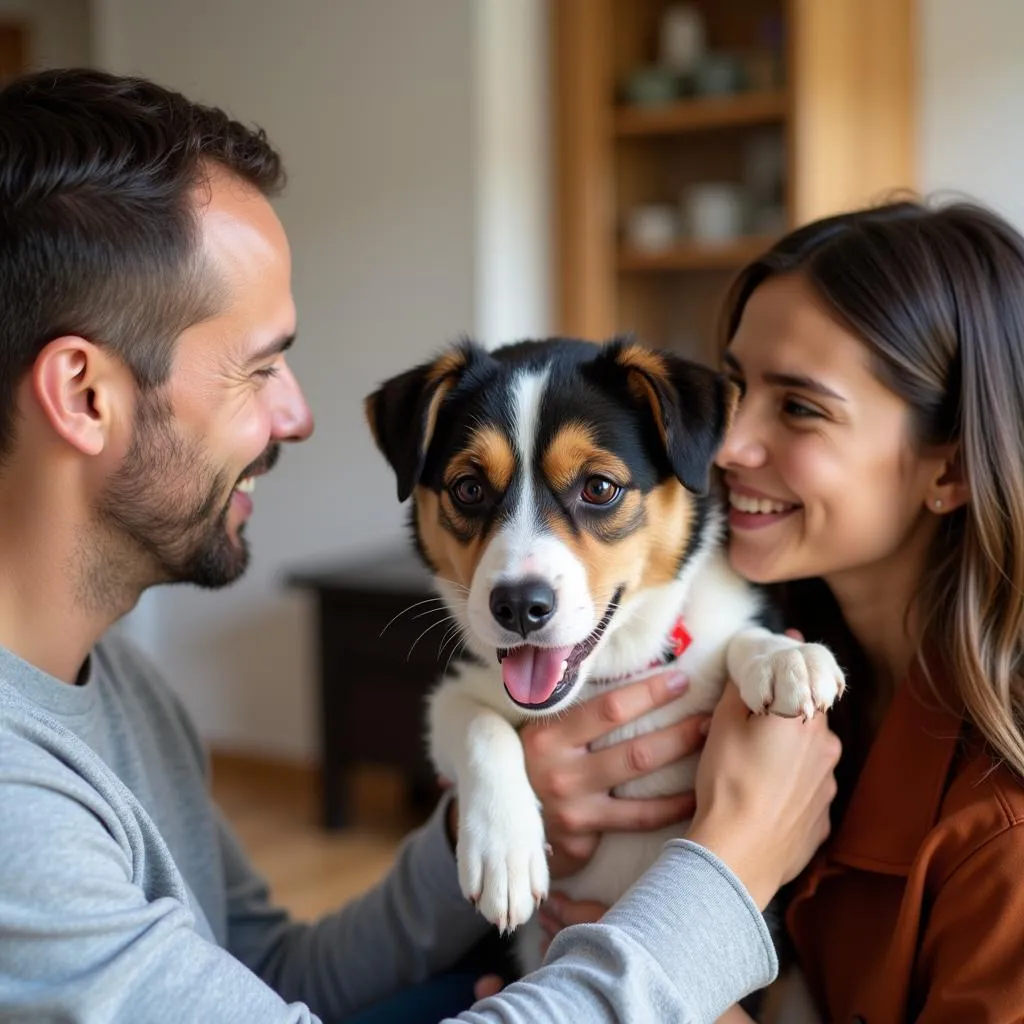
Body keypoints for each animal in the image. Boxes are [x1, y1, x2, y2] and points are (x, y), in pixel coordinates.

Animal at [364, 335, 843, 974]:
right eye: (468, 488)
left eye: (598, 487)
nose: (518, 606)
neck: (611, 673)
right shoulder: (453, 692)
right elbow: (479, 725)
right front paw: (503, 850)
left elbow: (735, 636)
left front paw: (785, 658)